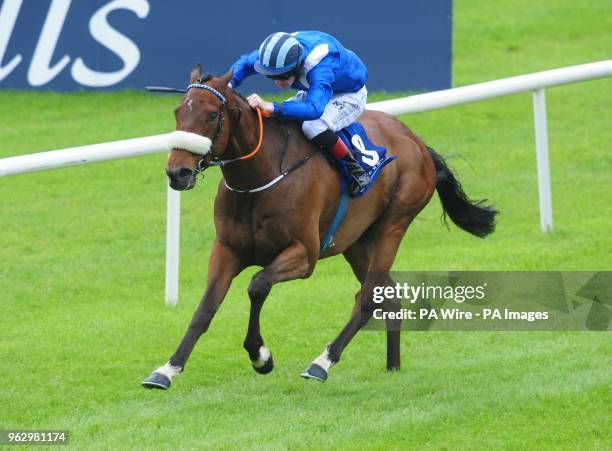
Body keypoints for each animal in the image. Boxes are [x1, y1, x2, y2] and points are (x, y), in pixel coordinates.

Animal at [142, 65, 498, 390]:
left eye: (212, 114)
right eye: (178, 111)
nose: (177, 173)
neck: (261, 177)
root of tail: (417, 141)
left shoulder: (304, 254)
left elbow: (258, 285)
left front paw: (260, 356)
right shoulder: (227, 249)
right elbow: (205, 308)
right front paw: (168, 369)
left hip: (394, 224)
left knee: (368, 298)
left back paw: (322, 362)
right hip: (357, 241)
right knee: (388, 295)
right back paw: (392, 366)